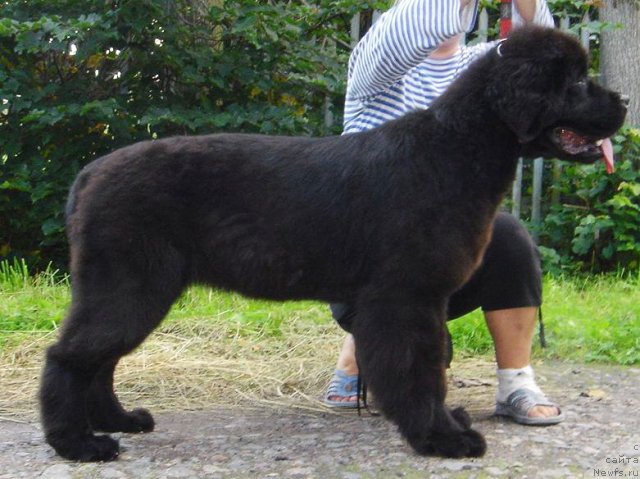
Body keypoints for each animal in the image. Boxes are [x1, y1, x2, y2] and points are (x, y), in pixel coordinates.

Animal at [38, 26, 624, 462]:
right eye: (575, 81)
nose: (621, 102)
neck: (457, 149)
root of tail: (90, 174)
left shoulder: (419, 299)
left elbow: (428, 365)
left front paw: (444, 427)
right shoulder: (406, 297)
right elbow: (420, 369)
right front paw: (442, 438)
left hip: (131, 290)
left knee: (100, 360)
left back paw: (119, 421)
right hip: (130, 285)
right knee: (70, 356)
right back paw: (78, 444)